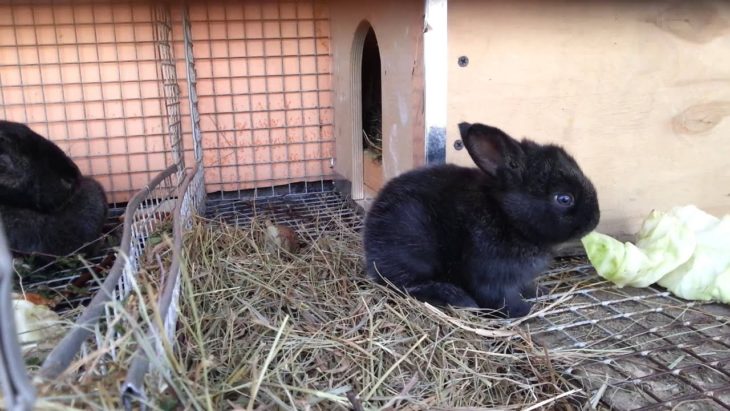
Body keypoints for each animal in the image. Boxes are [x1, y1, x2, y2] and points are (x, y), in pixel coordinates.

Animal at [362, 122, 600, 318]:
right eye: (564, 198)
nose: (595, 219)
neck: (507, 216)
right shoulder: (491, 275)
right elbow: (501, 298)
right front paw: (523, 310)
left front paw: (538, 292)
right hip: (414, 248)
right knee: (404, 283)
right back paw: (458, 298)